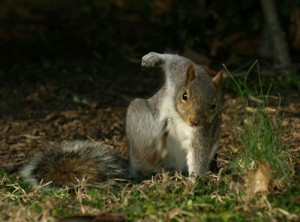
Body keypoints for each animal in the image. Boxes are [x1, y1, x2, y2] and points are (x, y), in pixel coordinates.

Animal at [19, 52, 221, 187]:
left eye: (214, 106)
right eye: (185, 96)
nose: (194, 121)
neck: (180, 116)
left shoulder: (203, 131)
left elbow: (199, 152)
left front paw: (194, 180)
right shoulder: (178, 73)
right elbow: (173, 60)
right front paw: (153, 58)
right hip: (138, 115)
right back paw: (154, 150)